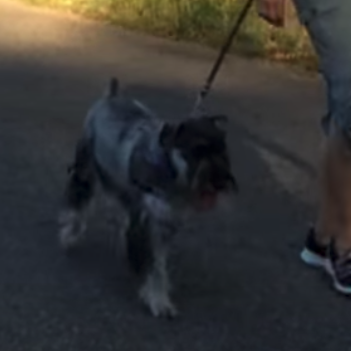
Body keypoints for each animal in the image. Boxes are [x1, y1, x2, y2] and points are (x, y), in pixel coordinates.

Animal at [59, 79, 238, 320]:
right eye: (198, 150)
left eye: (222, 147)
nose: (220, 181)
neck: (170, 167)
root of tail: (111, 96)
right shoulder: (148, 220)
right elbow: (153, 264)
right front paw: (158, 301)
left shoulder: (164, 222)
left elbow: (159, 263)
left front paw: (158, 294)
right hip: (86, 168)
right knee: (78, 200)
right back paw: (70, 233)